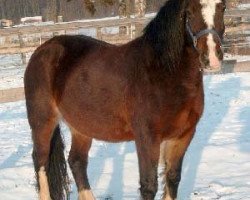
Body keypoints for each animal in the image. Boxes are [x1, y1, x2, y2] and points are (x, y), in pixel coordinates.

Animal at [24, 0, 226, 199]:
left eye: (222, 7)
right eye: (190, 12)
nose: (212, 57)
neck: (163, 71)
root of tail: (43, 49)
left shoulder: (183, 135)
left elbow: (173, 178)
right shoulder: (147, 138)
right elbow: (149, 185)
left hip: (81, 126)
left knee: (76, 161)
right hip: (42, 121)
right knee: (41, 161)